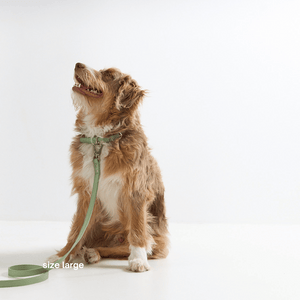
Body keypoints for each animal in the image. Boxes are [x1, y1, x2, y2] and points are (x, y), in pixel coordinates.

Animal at [47, 62, 169, 272]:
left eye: (109, 75)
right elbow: (76, 231)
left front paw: (138, 259)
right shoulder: (86, 193)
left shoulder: (136, 190)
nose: (78, 64)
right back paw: (89, 252)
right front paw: (62, 256)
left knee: (134, 243)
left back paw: (96, 253)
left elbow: (138, 230)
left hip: (154, 236)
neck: (100, 138)